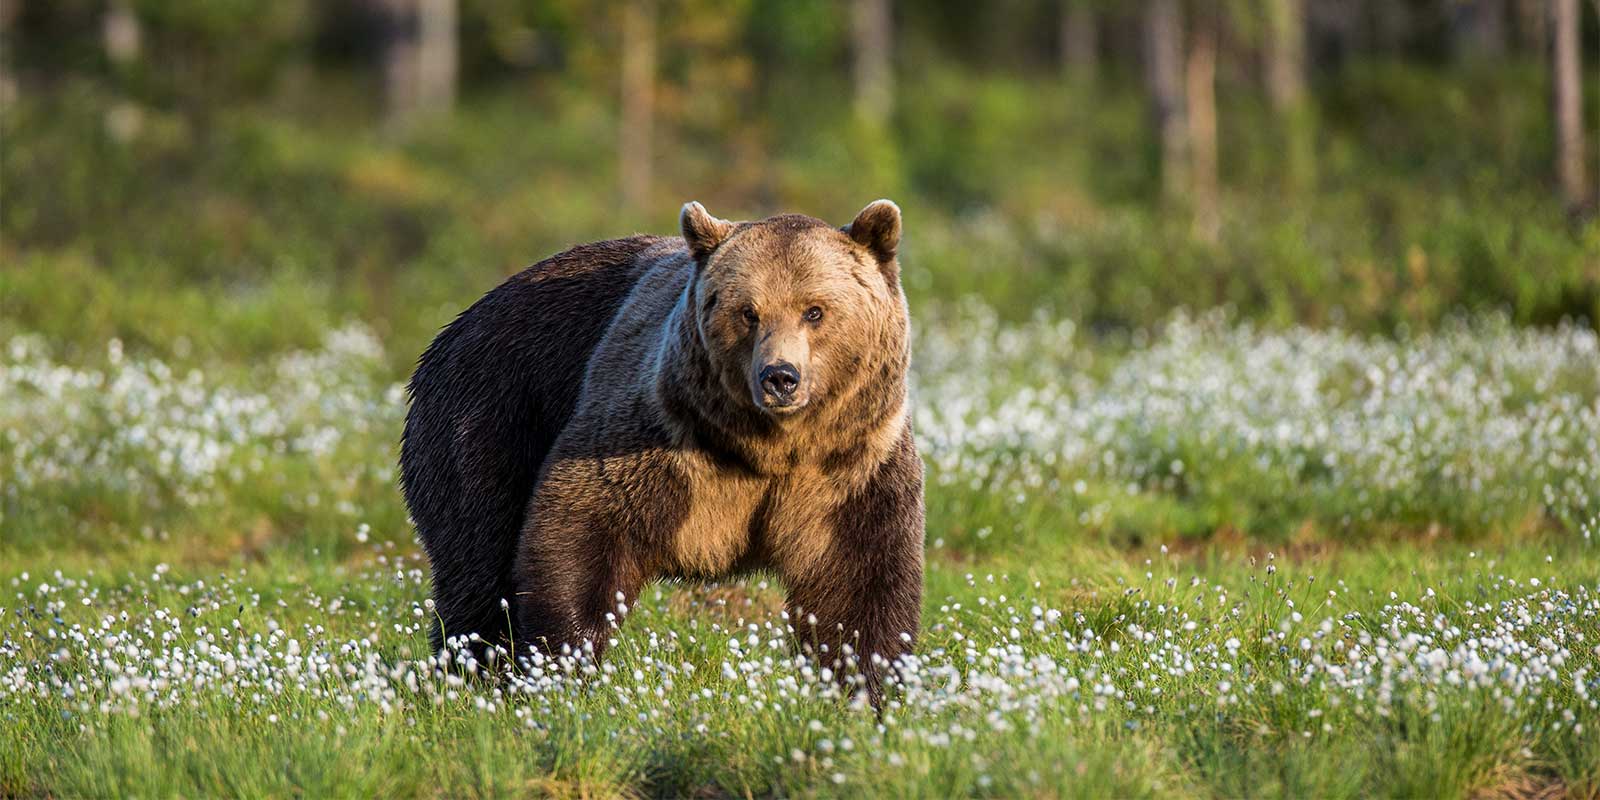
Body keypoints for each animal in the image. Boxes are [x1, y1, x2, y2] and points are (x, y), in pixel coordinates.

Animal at [399, 200, 923, 701]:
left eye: (814, 310)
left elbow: (857, 582)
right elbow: (578, 531)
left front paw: (864, 688)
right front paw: (566, 663)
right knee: (479, 563)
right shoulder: (653, 436)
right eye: (748, 311)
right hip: (487, 419)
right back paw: (474, 673)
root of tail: (454, 328)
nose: (779, 376)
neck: (767, 447)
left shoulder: (850, 469)